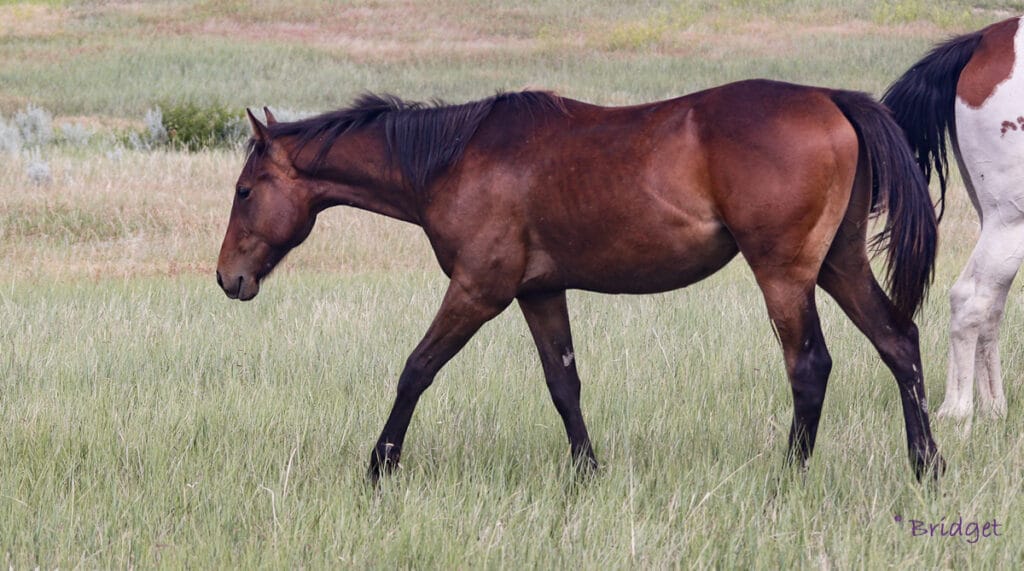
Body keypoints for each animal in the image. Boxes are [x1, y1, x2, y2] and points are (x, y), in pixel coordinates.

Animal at [216, 79, 942, 482]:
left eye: (245, 190)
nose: (228, 278)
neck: (454, 158)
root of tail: (829, 99)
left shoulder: (479, 291)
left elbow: (415, 370)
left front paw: (379, 464)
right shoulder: (539, 293)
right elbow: (564, 385)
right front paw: (587, 472)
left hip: (785, 275)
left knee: (810, 366)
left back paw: (791, 473)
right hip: (839, 265)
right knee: (898, 342)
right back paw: (925, 464)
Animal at [884, 16, 1019, 421]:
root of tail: (985, 39)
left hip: (994, 221)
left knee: (988, 305)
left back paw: (993, 409)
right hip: (1010, 220)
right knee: (972, 300)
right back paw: (958, 411)